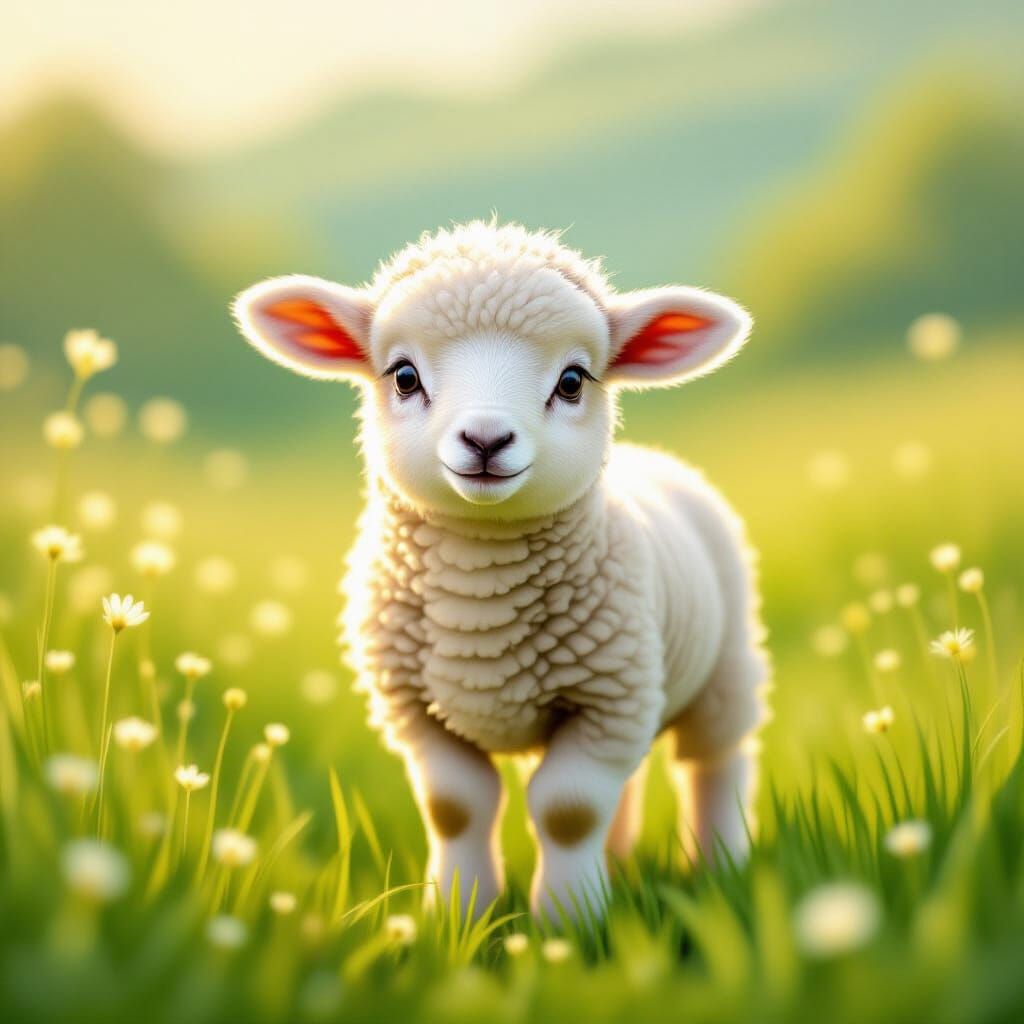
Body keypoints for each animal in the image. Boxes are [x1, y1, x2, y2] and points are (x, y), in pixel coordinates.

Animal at [233, 220, 769, 919]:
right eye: (404, 376)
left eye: (572, 381)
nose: (486, 440)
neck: (479, 588)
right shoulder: (415, 709)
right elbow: (456, 806)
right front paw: (460, 911)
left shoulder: (607, 699)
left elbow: (568, 809)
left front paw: (571, 920)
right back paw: (622, 862)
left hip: (723, 672)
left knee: (714, 763)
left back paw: (719, 866)